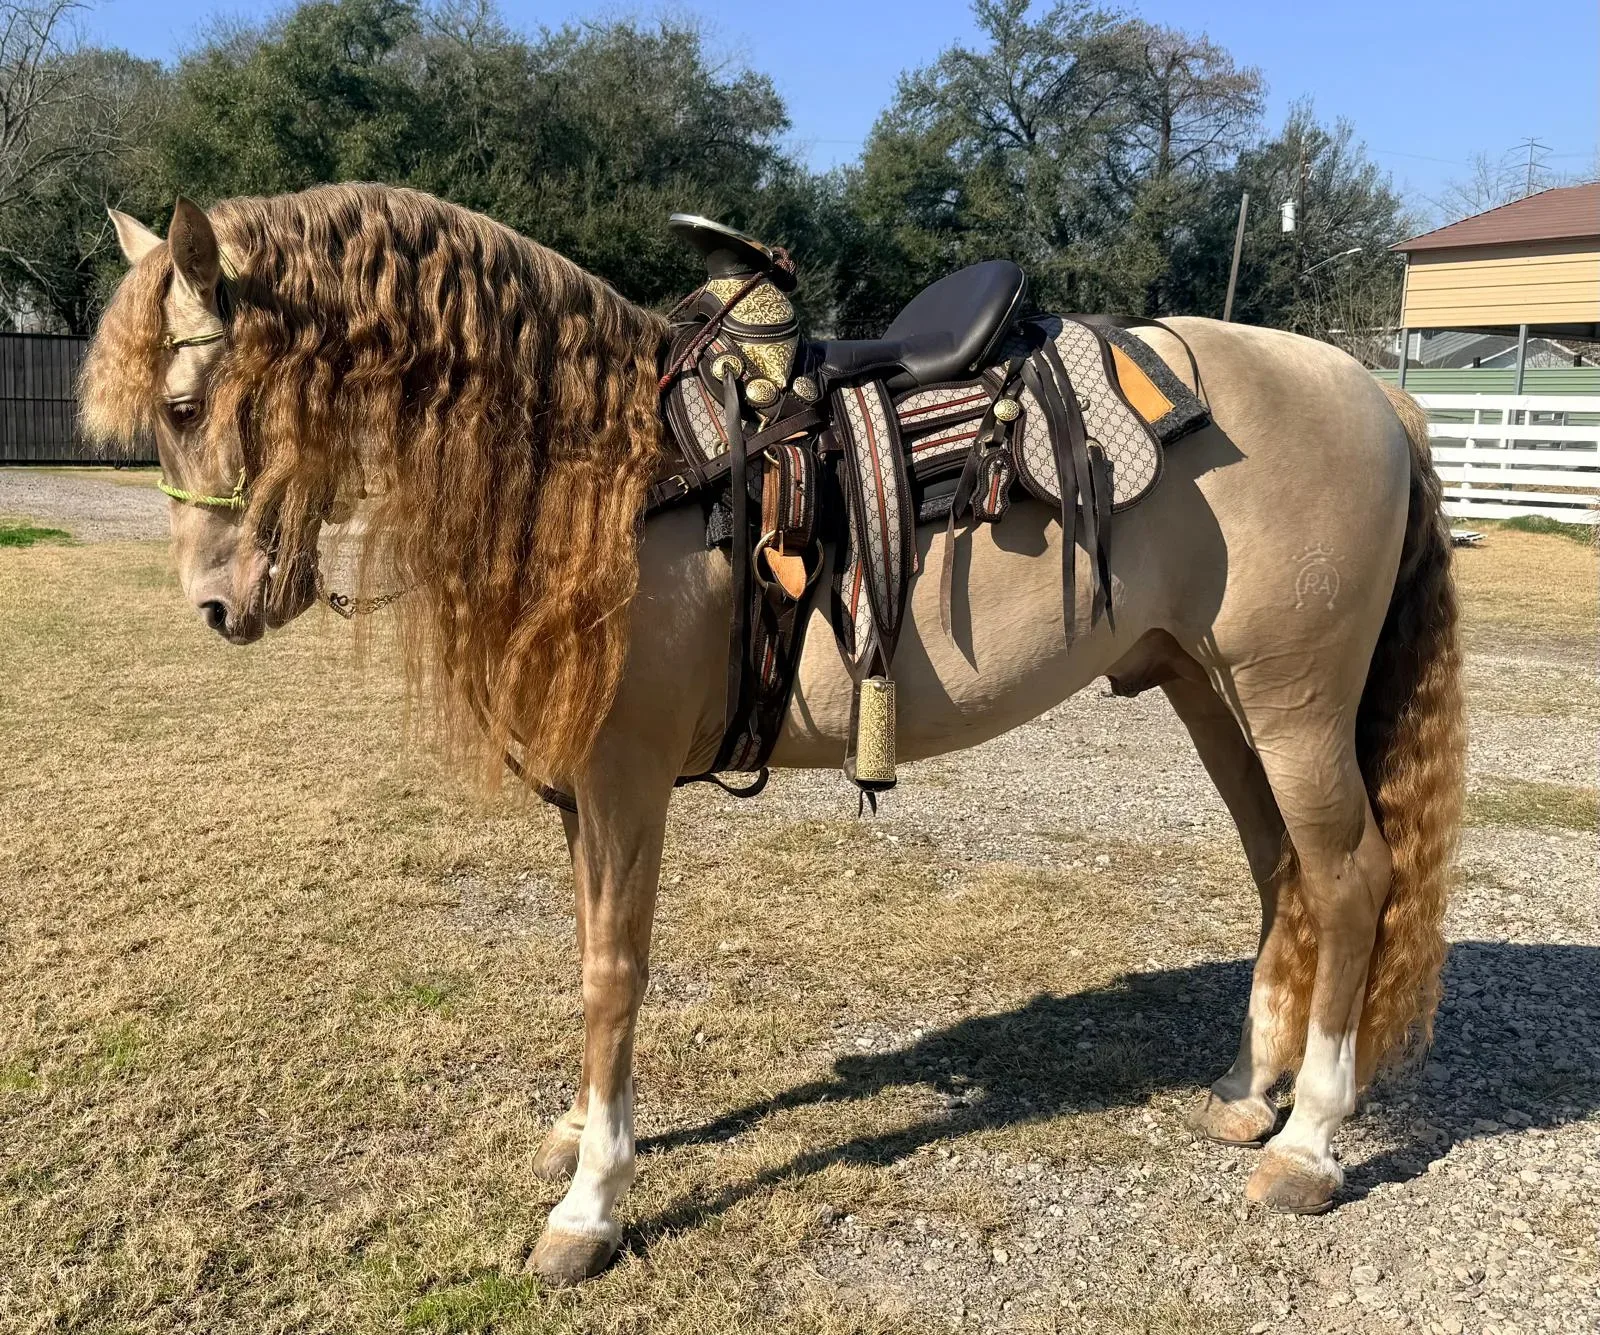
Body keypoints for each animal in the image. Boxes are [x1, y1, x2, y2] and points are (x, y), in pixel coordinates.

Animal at [83, 183, 1464, 1287]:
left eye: (190, 398)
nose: (217, 606)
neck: (600, 466)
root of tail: (1370, 390)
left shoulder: (626, 780)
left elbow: (613, 973)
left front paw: (590, 1204)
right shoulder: (584, 792)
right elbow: (586, 960)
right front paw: (581, 1136)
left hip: (1291, 701)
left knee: (1351, 878)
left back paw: (1307, 1144)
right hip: (1206, 687)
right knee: (1281, 870)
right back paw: (1247, 1098)